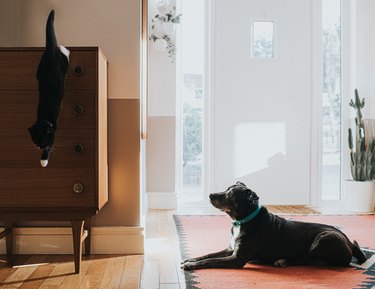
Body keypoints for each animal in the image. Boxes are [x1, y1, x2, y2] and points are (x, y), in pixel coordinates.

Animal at [27, 10, 70, 166]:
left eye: (44, 141)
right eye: (36, 141)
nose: (41, 147)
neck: (44, 118)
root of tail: (50, 52)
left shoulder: (55, 130)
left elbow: (52, 143)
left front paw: (44, 160)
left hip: (61, 65)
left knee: (64, 54)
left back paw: (63, 48)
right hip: (39, 67)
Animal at [181, 181, 368, 268]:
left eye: (231, 194)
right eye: (227, 188)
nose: (210, 195)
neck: (243, 220)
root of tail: (350, 243)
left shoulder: (236, 258)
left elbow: (210, 261)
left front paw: (191, 265)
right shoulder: (229, 249)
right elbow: (207, 255)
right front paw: (190, 259)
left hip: (325, 237)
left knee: (304, 259)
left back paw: (283, 262)